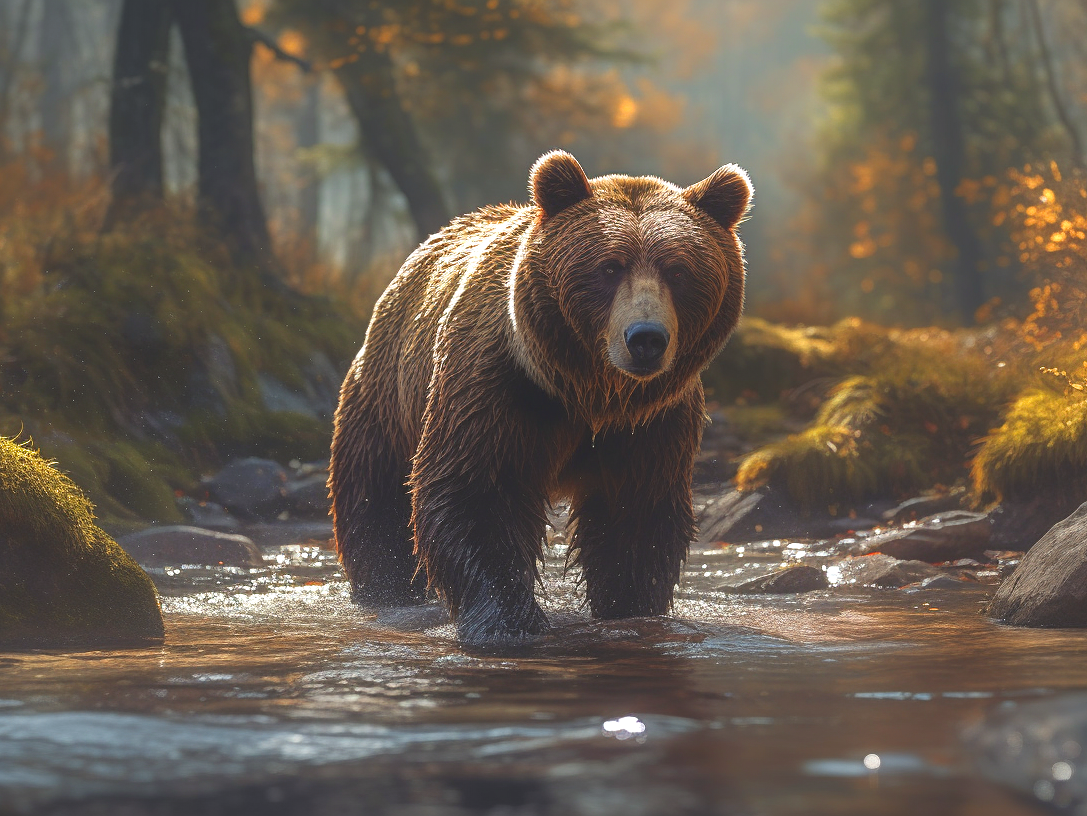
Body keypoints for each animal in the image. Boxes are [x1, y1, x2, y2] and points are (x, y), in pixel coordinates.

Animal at [329, 150, 751, 645]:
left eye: (678, 270)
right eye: (610, 266)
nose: (645, 338)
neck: (589, 393)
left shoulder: (651, 422)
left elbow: (635, 516)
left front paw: (630, 608)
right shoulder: (498, 389)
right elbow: (476, 492)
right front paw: (508, 621)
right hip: (385, 396)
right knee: (375, 498)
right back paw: (385, 588)